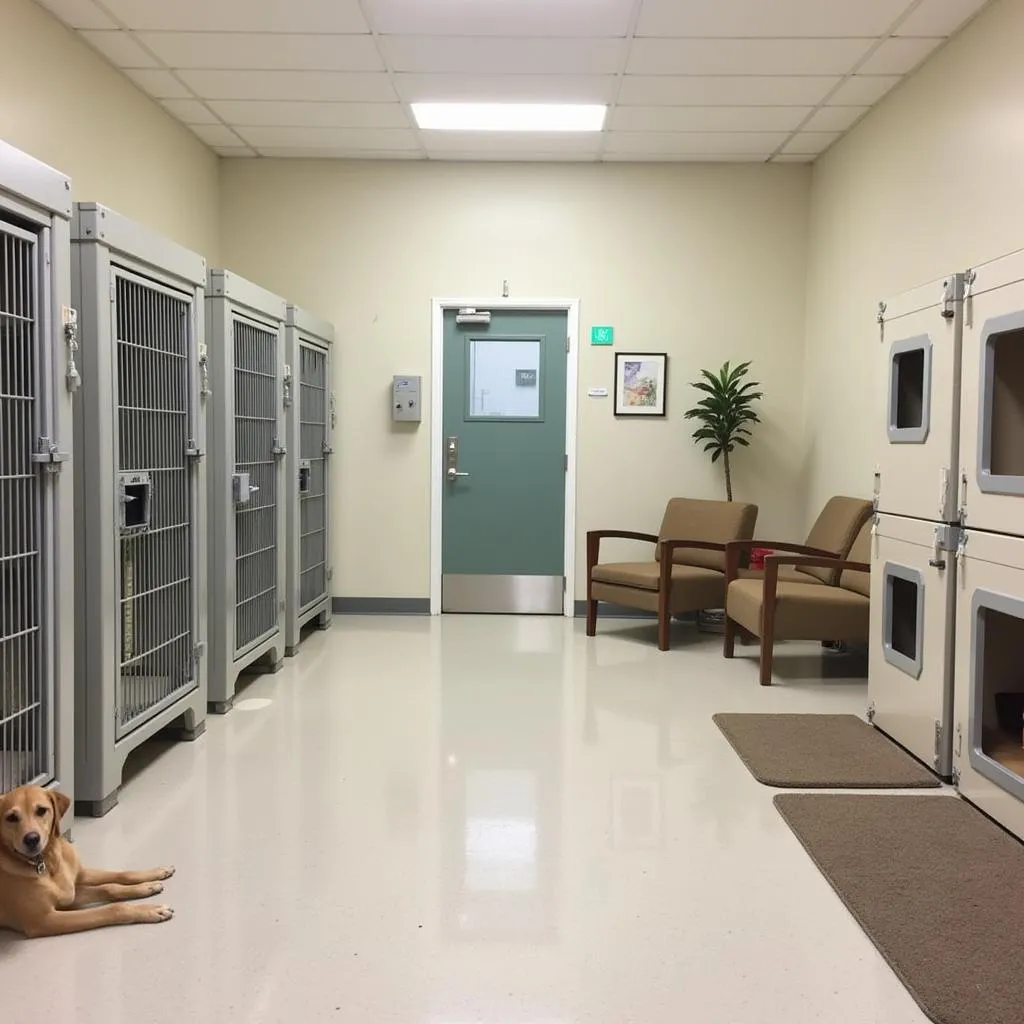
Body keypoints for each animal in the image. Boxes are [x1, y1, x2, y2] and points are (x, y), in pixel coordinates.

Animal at [0, 786, 174, 937]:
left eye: (41, 810)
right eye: (11, 818)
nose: (31, 839)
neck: (49, 862)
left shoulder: (73, 887)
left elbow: (112, 884)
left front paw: (150, 881)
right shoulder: (44, 919)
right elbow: (113, 908)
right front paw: (150, 910)